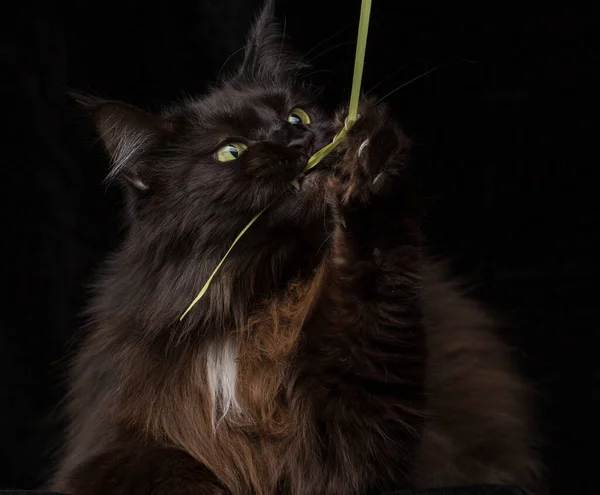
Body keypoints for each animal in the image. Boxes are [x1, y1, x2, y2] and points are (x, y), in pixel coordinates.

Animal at [51, 1, 544, 494]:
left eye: (297, 117)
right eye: (231, 151)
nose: (296, 140)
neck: (257, 298)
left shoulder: (349, 434)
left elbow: (372, 273)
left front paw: (370, 157)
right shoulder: (114, 440)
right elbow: (170, 466)